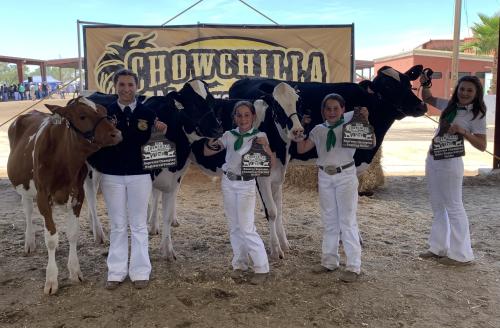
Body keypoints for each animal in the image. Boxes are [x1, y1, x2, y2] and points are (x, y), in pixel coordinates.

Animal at [7, 98, 122, 294]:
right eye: (82, 116)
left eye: (104, 110)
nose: (117, 133)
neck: (64, 161)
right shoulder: (43, 196)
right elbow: (51, 239)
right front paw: (51, 279)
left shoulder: (77, 194)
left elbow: (72, 233)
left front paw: (75, 271)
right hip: (25, 188)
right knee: (28, 211)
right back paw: (29, 242)